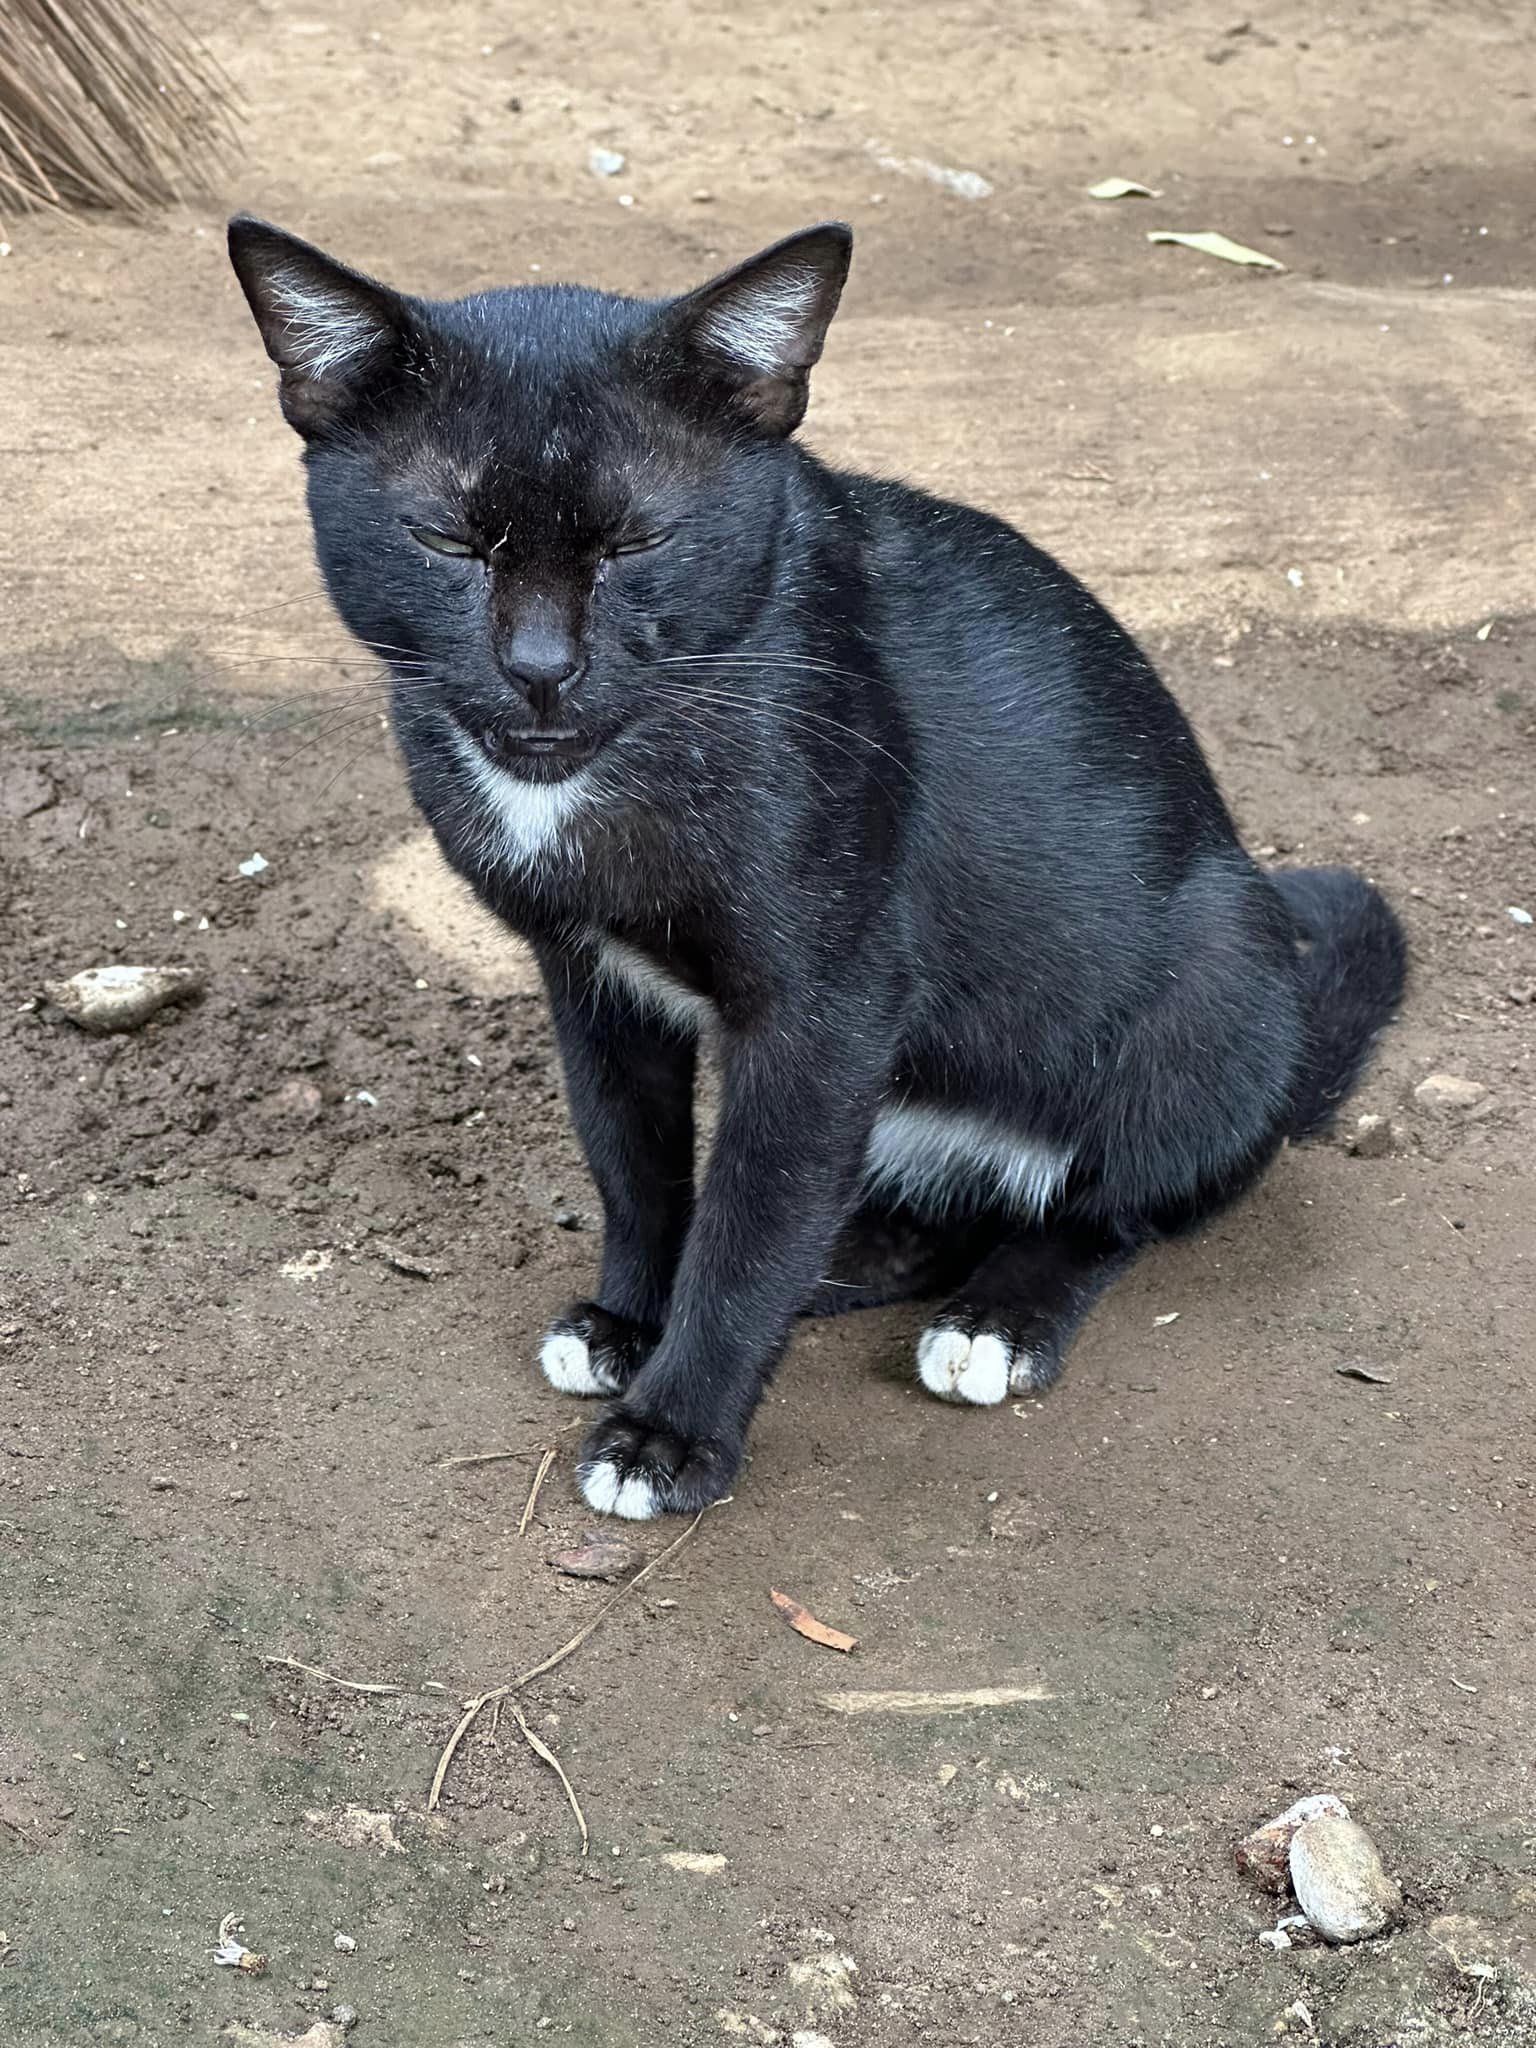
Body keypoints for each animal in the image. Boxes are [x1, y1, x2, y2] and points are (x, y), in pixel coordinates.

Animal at [228, 216, 1409, 1523]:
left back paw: (1001, 1319)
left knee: (1112, 1204)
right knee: (916, 1208)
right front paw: (633, 1317)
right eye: (444, 541)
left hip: (1219, 972)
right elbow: (636, 1161)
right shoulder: (590, 978)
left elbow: (749, 1220)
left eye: (640, 539)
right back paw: (852, 1260)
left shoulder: (826, 1005)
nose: (539, 668)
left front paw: (671, 1429)